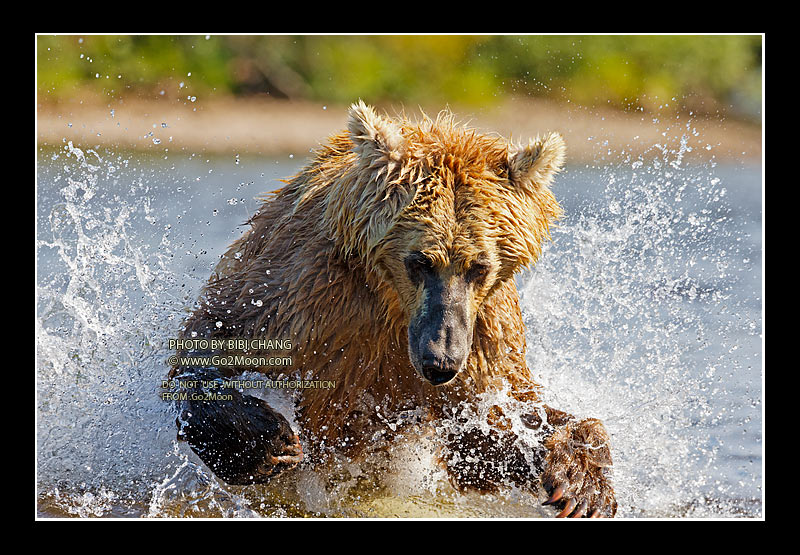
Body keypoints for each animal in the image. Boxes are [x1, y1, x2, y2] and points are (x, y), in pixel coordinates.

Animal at [168, 100, 617, 518]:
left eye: (479, 266)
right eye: (420, 261)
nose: (441, 361)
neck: (393, 306)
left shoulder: (483, 333)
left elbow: (486, 433)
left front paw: (581, 483)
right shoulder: (305, 298)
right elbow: (212, 340)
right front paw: (267, 440)